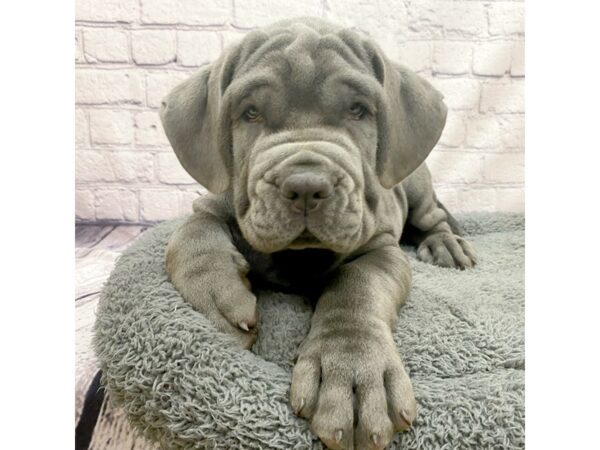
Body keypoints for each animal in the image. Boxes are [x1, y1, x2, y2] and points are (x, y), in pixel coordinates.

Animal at [161, 17, 478, 450]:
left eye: (358, 110)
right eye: (251, 113)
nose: (307, 185)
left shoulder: (380, 248)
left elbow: (357, 284)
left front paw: (353, 370)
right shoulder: (213, 202)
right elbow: (191, 233)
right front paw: (218, 297)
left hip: (416, 185)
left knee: (434, 217)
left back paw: (446, 245)